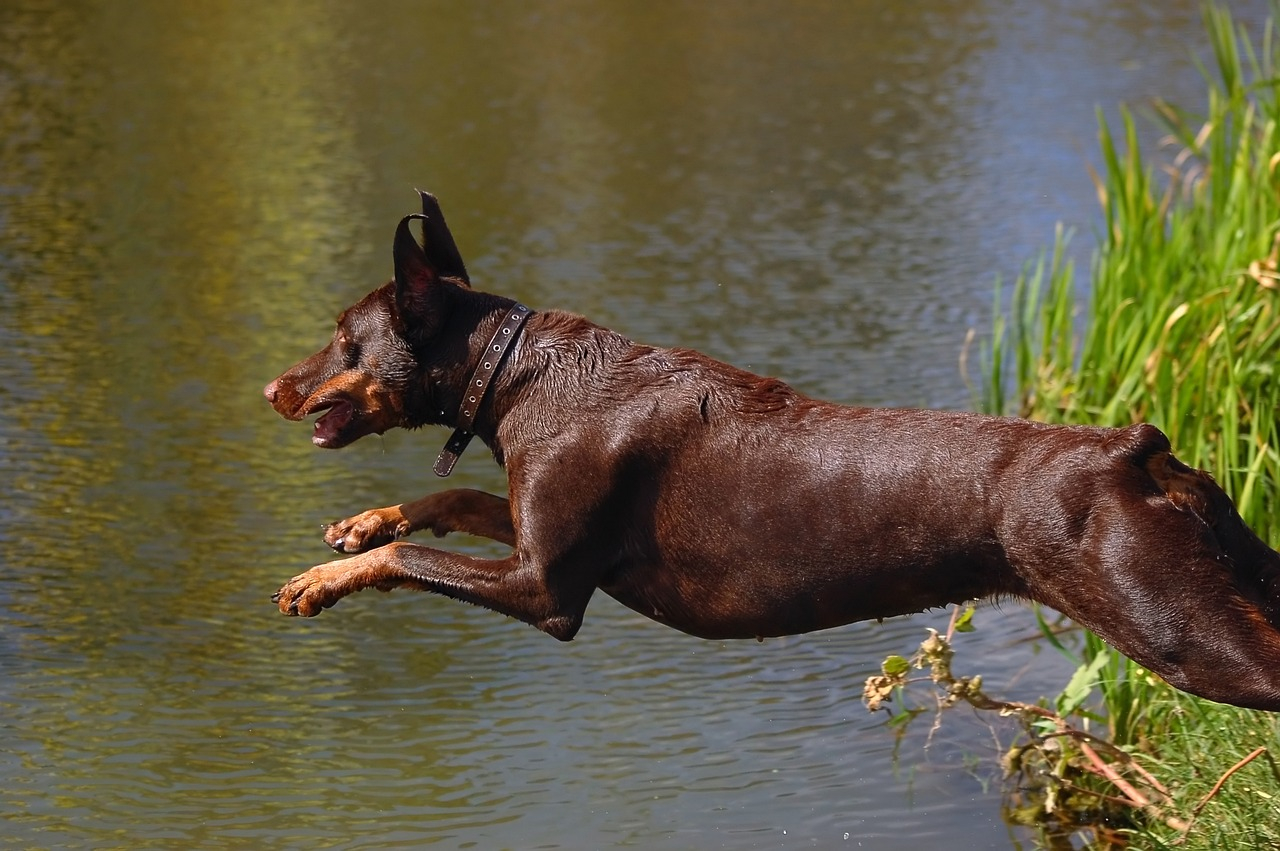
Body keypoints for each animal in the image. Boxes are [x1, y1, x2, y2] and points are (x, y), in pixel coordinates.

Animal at [264, 190, 1280, 711]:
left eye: (342, 337)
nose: (272, 387)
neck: (515, 376)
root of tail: (1136, 448)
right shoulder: (538, 534)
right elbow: (444, 505)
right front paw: (359, 524)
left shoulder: (546, 590)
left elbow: (414, 555)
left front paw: (324, 577)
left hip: (1179, 631)